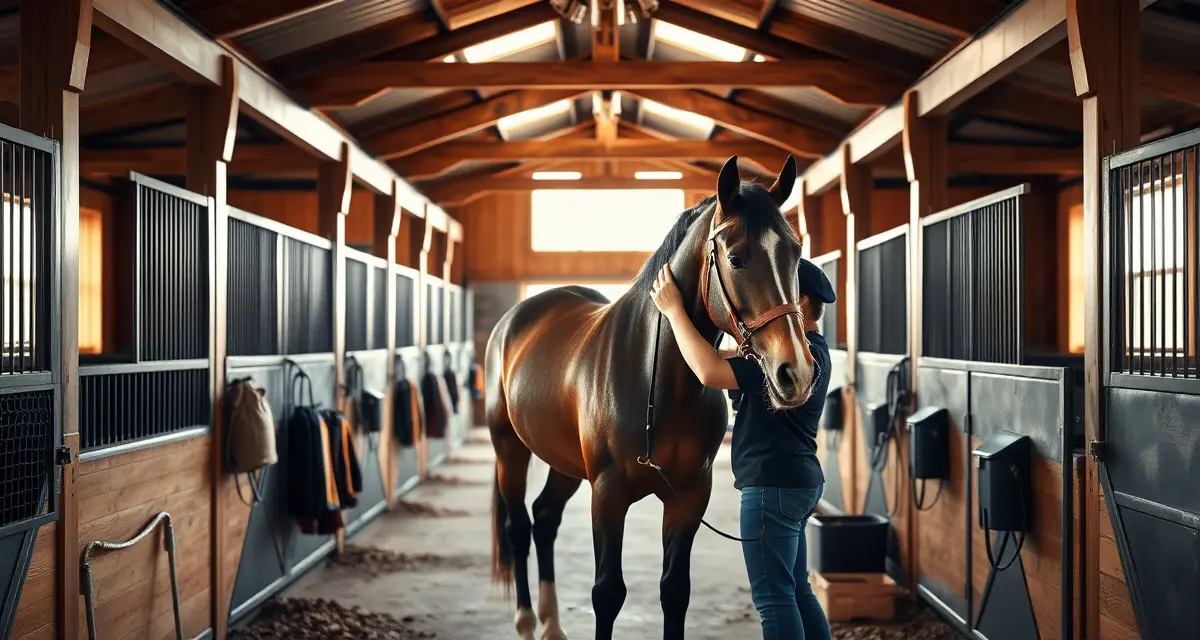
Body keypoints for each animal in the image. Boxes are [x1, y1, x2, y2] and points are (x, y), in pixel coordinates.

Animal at [484, 155, 816, 640]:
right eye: (736, 258)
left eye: (794, 253)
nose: (797, 372)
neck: (657, 382)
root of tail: (516, 318)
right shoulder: (607, 495)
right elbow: (607, 593)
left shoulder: (689, 496)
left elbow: (674, 591)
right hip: (510, 450)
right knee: (519, 528)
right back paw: (527, 621)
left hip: (564, 461)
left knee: (544, 520)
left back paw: (551, 624)